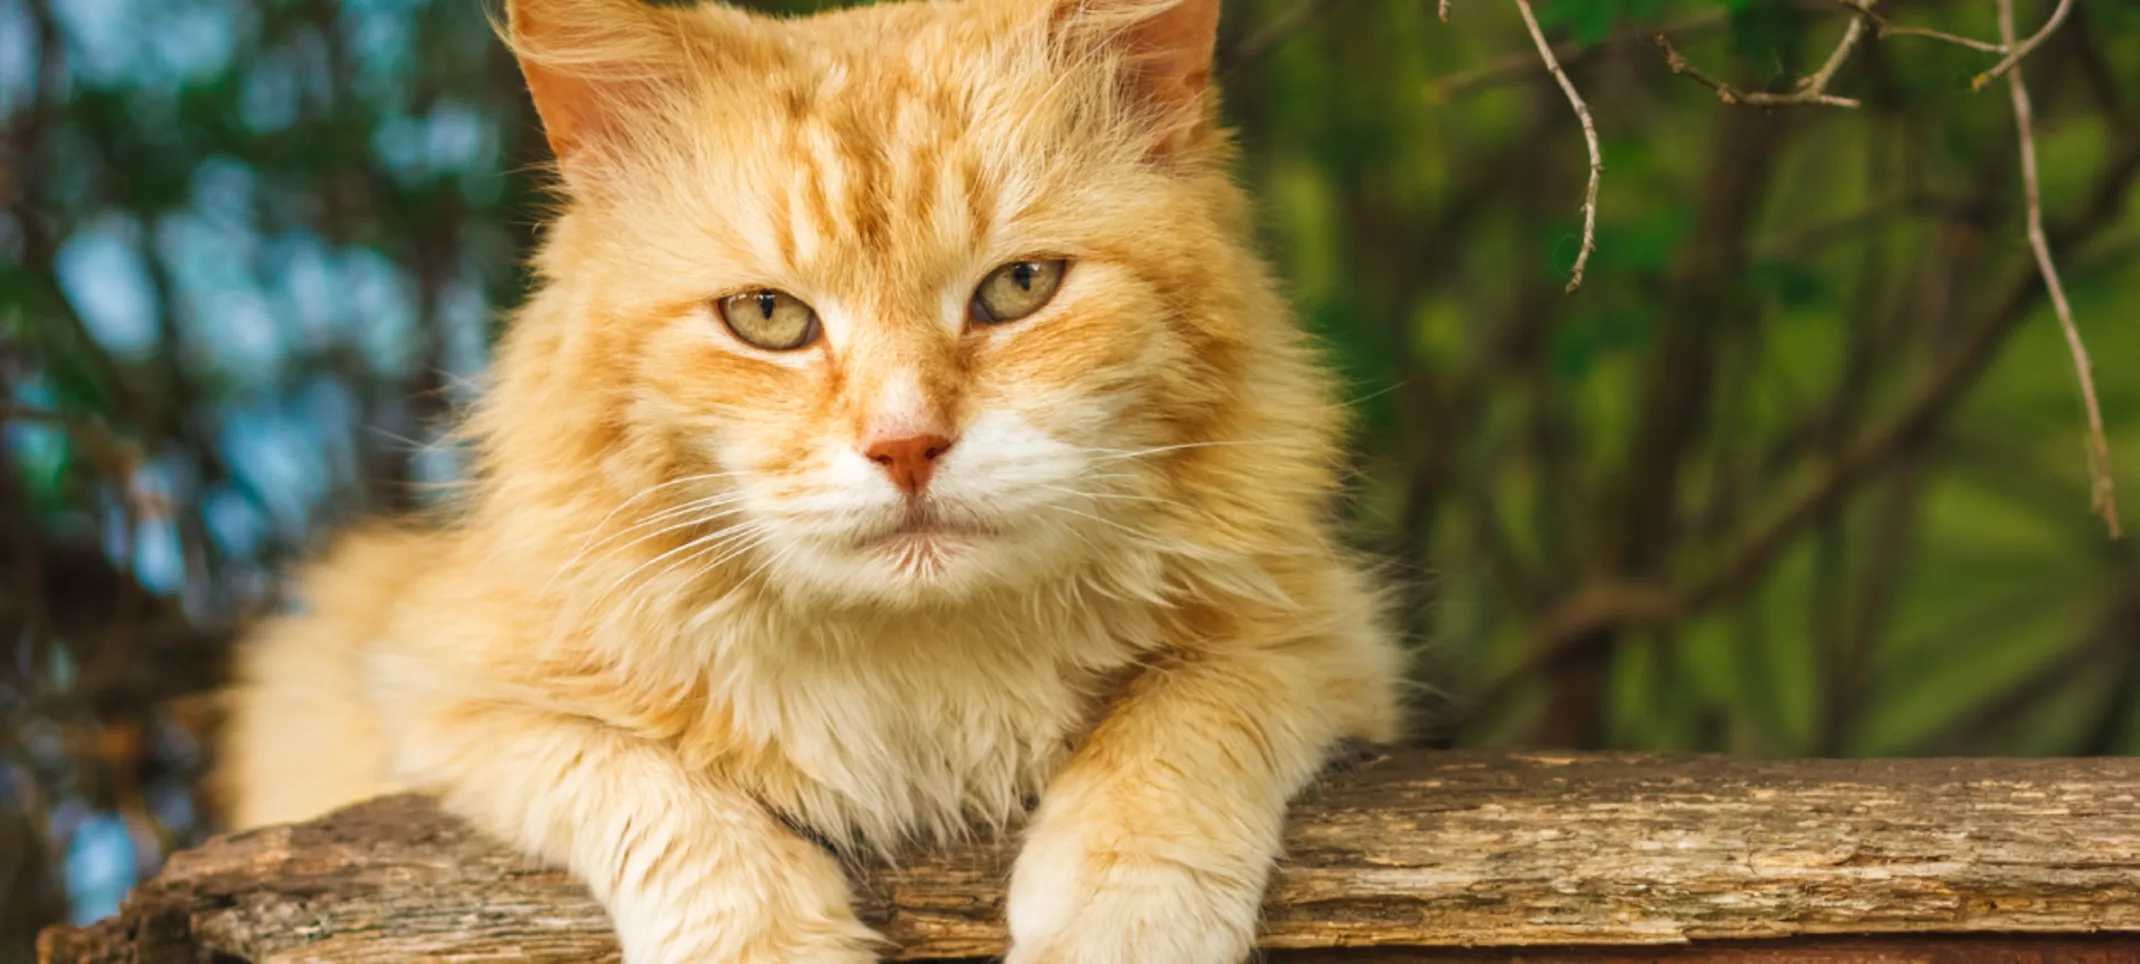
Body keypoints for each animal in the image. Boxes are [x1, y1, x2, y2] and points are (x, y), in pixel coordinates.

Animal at [217, 0, 1403, 959]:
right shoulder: (428, 692)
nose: (906, 446)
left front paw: (1122, 915)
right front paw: (763, 940)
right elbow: (656, 795)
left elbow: (1178, 725)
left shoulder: (1321, 637)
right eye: (769, 318)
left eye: (1020, 287)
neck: (915, 669)